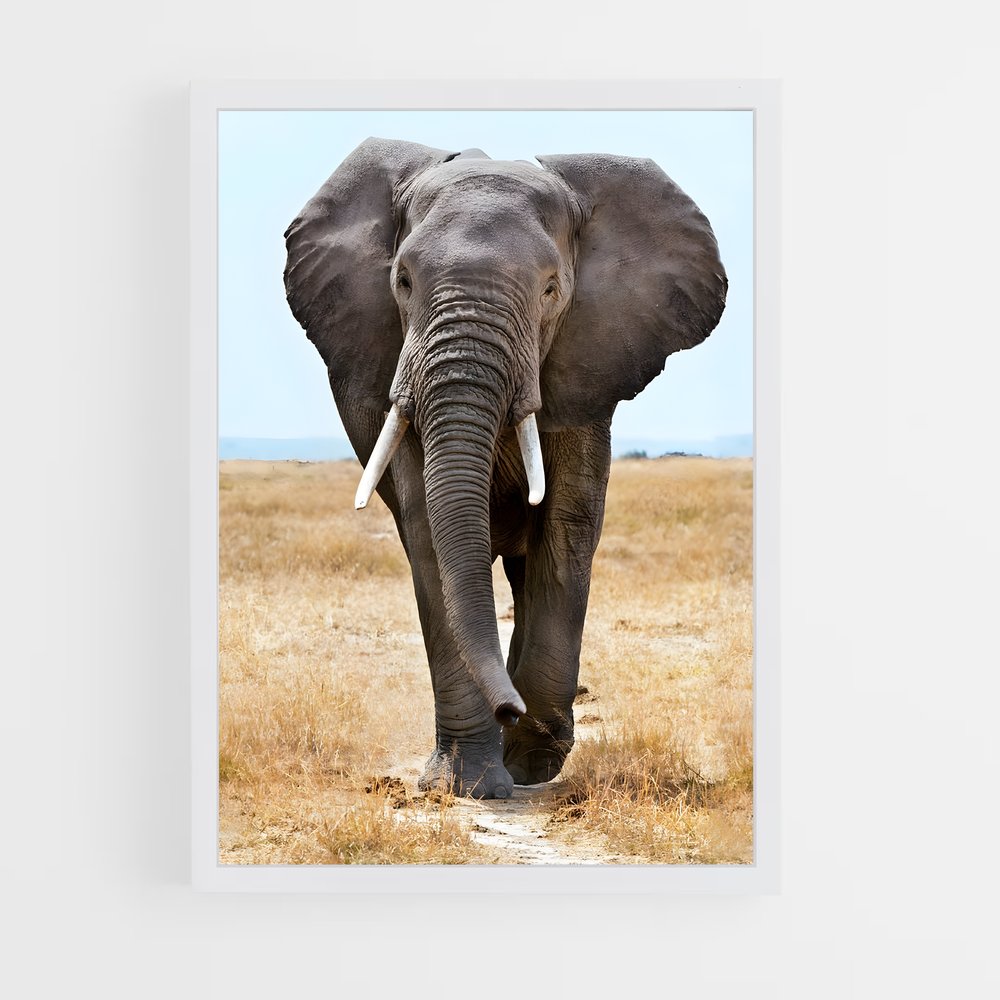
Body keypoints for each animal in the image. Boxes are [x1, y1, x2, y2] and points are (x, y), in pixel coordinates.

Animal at [283, 137, 727, 799]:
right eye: (402, 280)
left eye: (550, 290)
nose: (508, 709)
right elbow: (428, 533)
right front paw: (467, 783)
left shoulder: (584, 364)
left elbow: (567, 526)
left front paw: (532, 763)